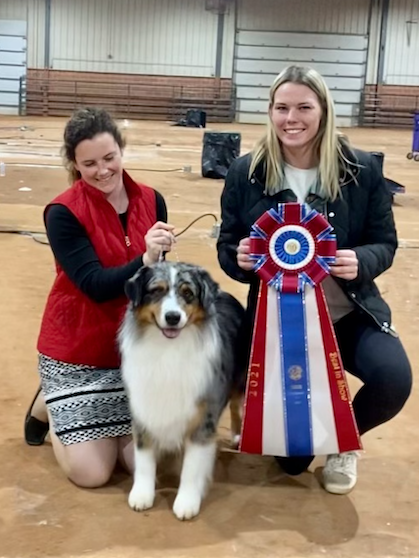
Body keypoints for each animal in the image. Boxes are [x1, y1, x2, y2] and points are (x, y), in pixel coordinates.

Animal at [118, 261, 246, 520]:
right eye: (156, 290)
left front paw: (187, 502)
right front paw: (142, 495)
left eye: (188, 293)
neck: (169, 349)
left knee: (237, 404)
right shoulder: (144, 408)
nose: (173, 317)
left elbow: (192, 466)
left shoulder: (203, 418)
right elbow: (144, 458)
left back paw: (238, 435)